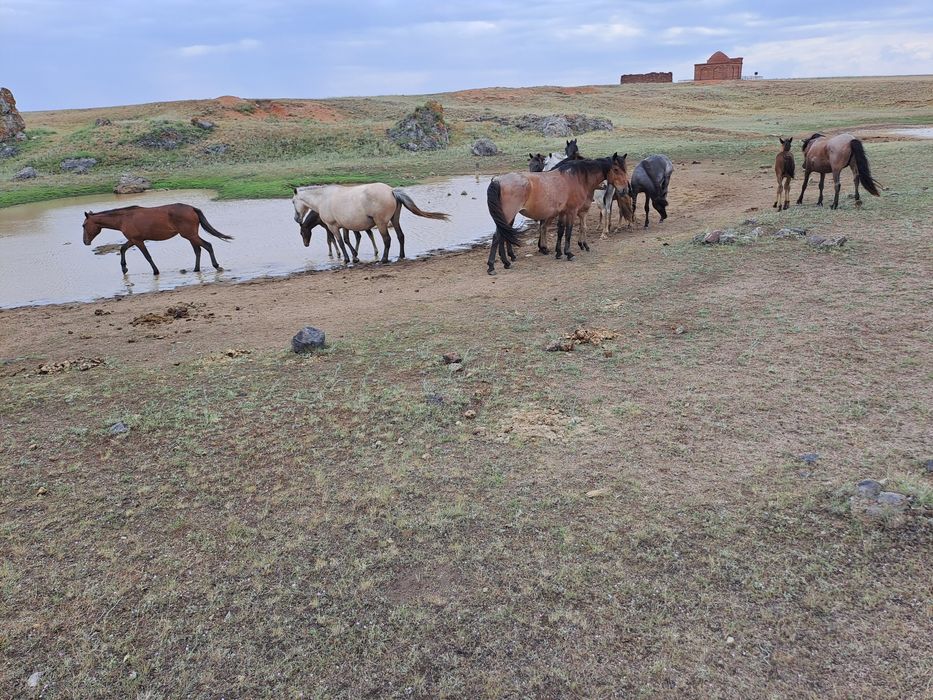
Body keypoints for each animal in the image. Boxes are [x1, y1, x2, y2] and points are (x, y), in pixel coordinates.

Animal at [82, 204, 233, 276]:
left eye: (83, 225)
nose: (85, 242)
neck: (124, 218)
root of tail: (192, 208)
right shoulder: (133, 240)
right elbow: (123, 248)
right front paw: (124, 268)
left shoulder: (138, 241)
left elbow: (147, 256)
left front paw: (155, 271)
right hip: (190, 236)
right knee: (198, 250)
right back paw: (196, 269)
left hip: (190, 235)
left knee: (207, 246)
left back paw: (216, 266)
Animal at [292, 183, 448, 264]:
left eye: (293, 201)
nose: (296, 219)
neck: (323, 198)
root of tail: (391, 191)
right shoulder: (345, 226)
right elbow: (347, 240)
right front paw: (355, 257)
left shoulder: (333, 226)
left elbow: (341, 242)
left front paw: (347, 259)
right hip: (394, 220)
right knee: (400, 236)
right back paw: (401, 256)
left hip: (381, 223)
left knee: (387, 239)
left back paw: (384, 259)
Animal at [485, 153, 630, 274]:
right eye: (616, 169)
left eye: (625, 169)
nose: (625, 189)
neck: (577, 178)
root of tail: (498, 180)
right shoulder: (572, 212)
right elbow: (568, 231)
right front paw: (569, 253)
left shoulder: (563, 212)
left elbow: (560, 231)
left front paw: (559, 253)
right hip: (508, 215)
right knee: (497, 237)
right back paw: (493, 266)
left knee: (502, 236)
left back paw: (506, 262)